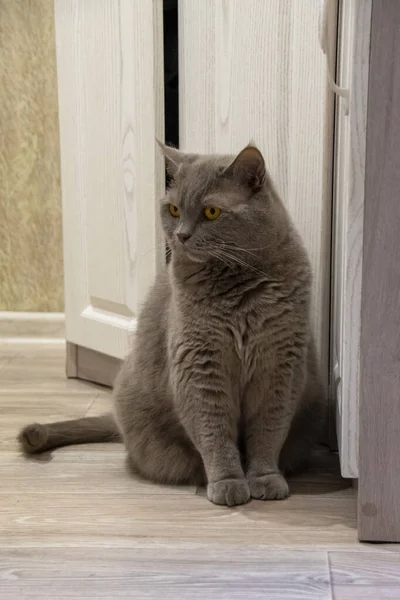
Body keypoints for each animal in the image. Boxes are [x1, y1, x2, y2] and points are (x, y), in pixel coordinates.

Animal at [18, 145, 324, 506]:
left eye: (211, 212)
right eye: (174, 209)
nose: (181, 235)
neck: (236, 288)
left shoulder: (279, 366)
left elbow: (269, 429)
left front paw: (265, 478)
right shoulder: (198, 365)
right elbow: (213, 431)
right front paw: (228, 483)